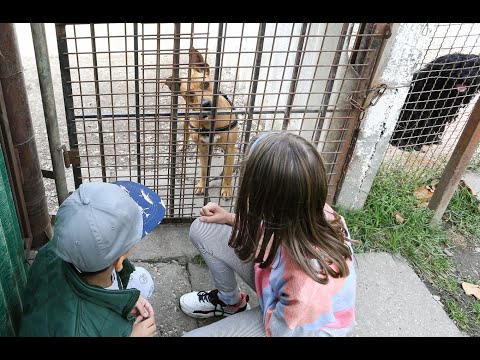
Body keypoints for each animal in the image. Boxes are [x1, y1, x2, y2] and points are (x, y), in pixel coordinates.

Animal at [165, 47, 238, 200]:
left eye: (206, 84)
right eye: (189, 94)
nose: (206, 104)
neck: (209, 121)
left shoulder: (230, 148)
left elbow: (228, 171)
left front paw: (226, 188)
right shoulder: (202, 149)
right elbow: (204, 170)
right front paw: (201, 185)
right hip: (185, 120)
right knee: (186, 133)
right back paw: (183, 145)